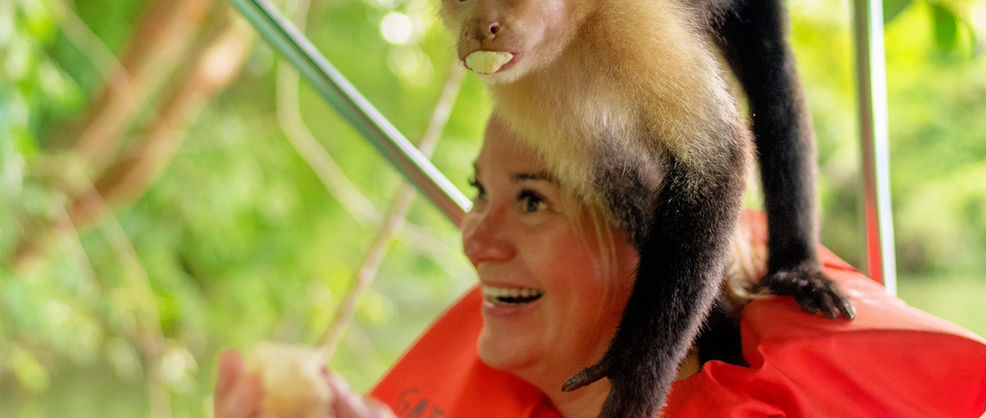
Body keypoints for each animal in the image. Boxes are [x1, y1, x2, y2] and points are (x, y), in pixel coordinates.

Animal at [440, 0, 853, 416]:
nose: (480, 30)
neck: (576, 32)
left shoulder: (637, 22)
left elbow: (716, 162)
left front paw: (633, 374)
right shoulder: (527, 87)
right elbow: (618, 179)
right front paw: (718, 333)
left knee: (771, 73)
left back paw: (796, 270)